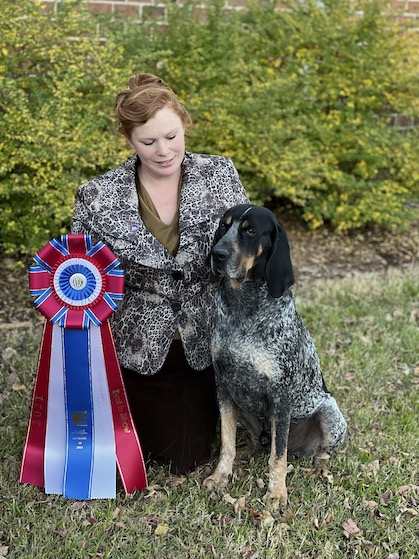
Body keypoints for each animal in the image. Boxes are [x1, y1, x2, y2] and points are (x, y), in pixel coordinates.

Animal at [204, 204, 347, 509]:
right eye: (224, 226)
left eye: (250, 231)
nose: (217, 254)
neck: (242, 308)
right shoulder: (224, 388)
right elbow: (227, 444)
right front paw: (221, 477)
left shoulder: (280, 398)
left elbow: (277, 457)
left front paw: (277, 492)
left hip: (330, 415)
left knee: (320, 451)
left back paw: (321, 467)